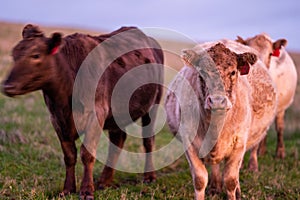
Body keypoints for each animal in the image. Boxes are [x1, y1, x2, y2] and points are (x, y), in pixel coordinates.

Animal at [0, 24, 164, 199]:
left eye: (35, 55)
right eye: (14, 55)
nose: (8, 86)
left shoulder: (97, 114)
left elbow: (87, 154)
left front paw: (86, 190)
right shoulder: (57, 119)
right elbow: (69, 155)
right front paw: (67, 189)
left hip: (153, 105)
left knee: (148, 140)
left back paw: (149, 176)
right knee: (118, 140)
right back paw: (105, 181)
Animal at [165, 43, 278, 199]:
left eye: (233, 72)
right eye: (202, 73)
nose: (217, 101)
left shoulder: (239, 145)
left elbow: (230, 180)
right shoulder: (190, 144)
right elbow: (200, 180)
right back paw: (215, 186)